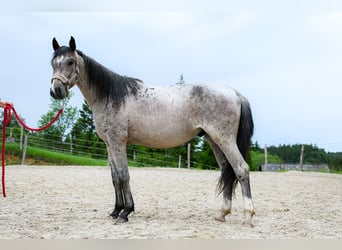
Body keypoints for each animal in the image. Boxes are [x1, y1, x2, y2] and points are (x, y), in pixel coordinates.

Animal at [49, 36, 255, 227]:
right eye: (52, 63)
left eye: (70, 62)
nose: (55, 91)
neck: (109, 96)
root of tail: (234, 93)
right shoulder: (108, 143)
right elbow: (115, 177)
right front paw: (116, 210)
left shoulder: (117, 142)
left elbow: (123, 175)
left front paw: (126, 212)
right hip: (214, 140)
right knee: (227, 170)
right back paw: (222, 214)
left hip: (225, 139)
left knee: (241, 169)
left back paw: (248, 217)